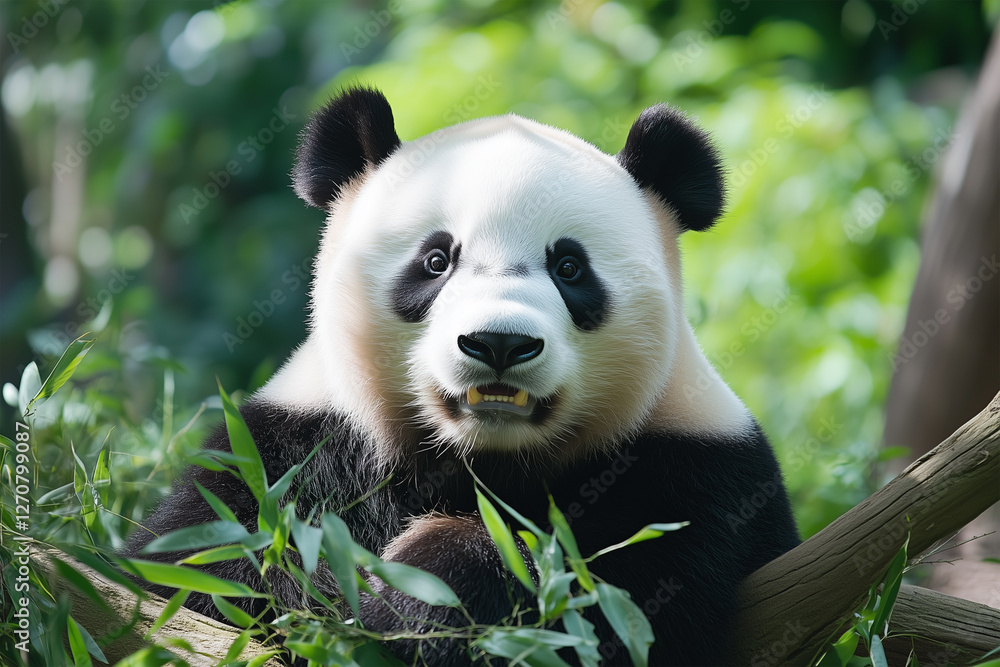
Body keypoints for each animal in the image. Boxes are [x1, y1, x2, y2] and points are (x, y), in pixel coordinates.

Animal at [124, 87, 799, 666]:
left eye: (570, 267)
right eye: (435, 260)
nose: (499, 342)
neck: (482, 457)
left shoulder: (697, 473)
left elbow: (622, 604)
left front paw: (428, 588)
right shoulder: (295, 445)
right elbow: (210, 565)